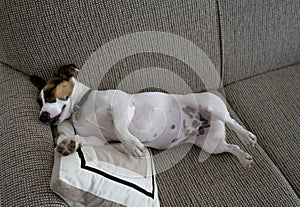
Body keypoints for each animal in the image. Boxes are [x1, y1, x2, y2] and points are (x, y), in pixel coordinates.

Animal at [31, 64, 258, 168]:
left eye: (49, 93)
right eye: (39, 102)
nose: (42, 117)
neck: (81, 105)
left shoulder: (122, 106)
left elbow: (120, 130)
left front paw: (133, 146)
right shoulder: (97, 139)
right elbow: (81, 139)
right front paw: (69, 144)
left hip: (210, 107)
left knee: (232, 121)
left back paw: (247, 136)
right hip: (211, 144)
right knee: (230, 146)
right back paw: (243, 157)